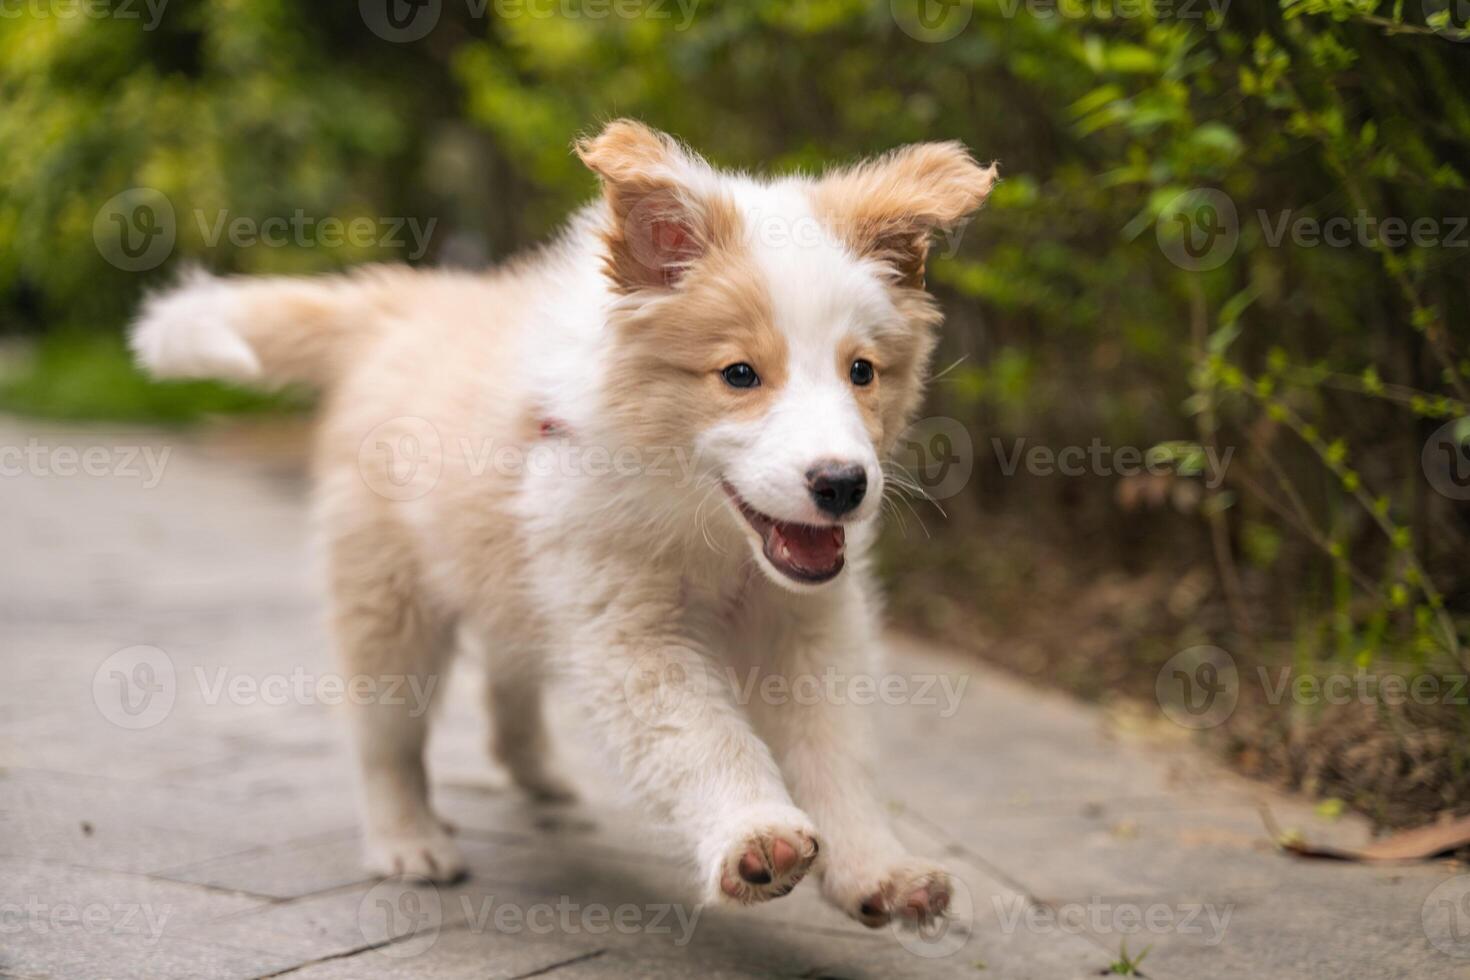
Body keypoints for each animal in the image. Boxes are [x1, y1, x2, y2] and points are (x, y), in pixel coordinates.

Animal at [129, 120, 999, 928]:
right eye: (740, 375)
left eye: (862, 372)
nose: (844, 486)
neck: (711, 539)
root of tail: (402, 305)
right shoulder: (627, 629)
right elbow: (700, 734)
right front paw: (757, 837)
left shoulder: (810, 624)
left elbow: (837, 751)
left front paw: (876, 869)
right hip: (389, 598)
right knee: (386, 736)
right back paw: (407, 839)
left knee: (508, 670)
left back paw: (536, 772)